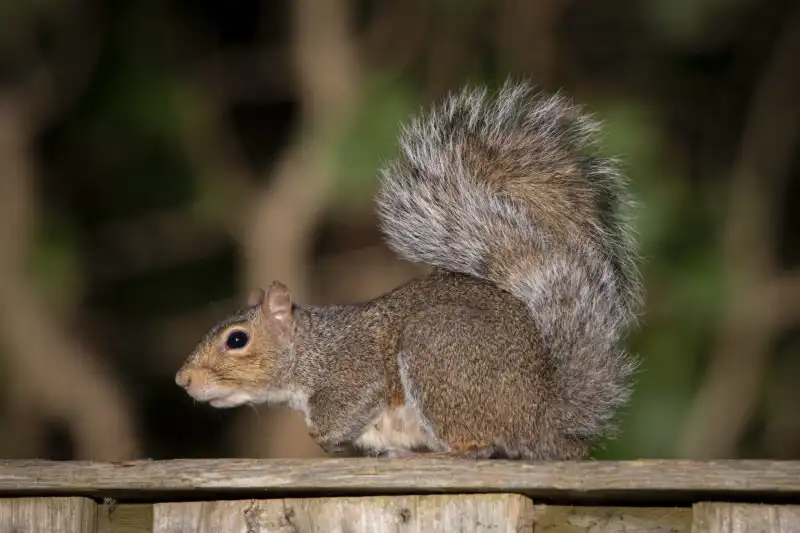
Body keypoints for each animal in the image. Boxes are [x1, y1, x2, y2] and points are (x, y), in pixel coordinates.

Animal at [174, 80, 643, 460]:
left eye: (237, 340)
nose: (183, 380)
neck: (311, 347)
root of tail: (543, 415)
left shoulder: (352, 370)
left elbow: (351, 402)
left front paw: (324, 436)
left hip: (437, 354)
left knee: (482, 443)